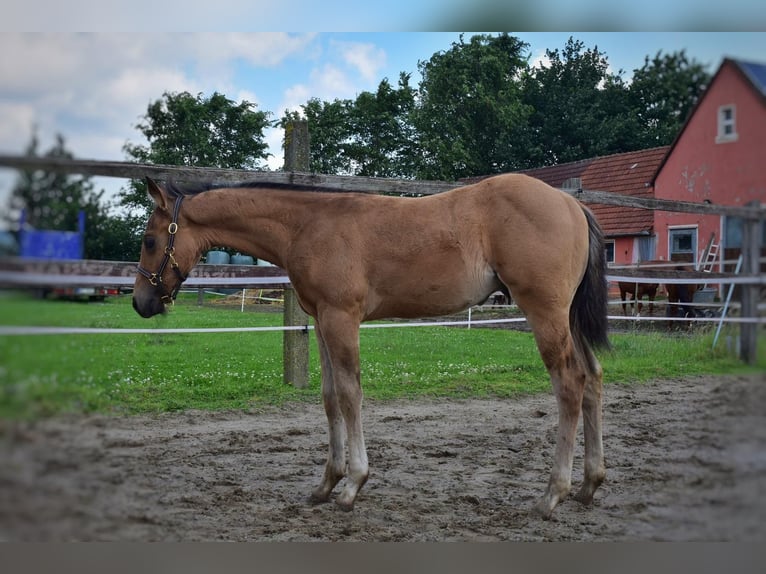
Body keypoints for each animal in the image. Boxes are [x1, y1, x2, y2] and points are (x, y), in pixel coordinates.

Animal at [134, 173, 612, 520]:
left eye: (150, 240)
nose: (141, 302)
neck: (308, 226)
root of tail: (573, 203)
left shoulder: (341, 318)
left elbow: (350, 395)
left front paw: (352, 485)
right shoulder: (321, 320)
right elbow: (329, 397)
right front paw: (326, 483)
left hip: (545, 311)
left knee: (569, 383)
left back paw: (552, 495)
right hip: (568, 317)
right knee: (592, 378)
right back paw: (589, 486)